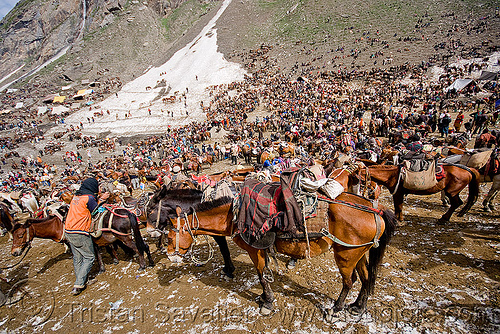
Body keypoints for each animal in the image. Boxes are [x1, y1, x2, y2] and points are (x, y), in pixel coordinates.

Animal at [165, 194, 398, 318]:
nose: (169, 256)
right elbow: (264, 273)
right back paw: (358, 306)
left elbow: (261, 275)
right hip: (358, 253)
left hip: (345, 256)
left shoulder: (254, 250)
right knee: (367, 278)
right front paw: (263, 297)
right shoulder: (262, 251)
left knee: (350, 281)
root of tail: (376, 210)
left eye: (168, 236)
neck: (234, 216)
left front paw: (267, 302)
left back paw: (336, 308)